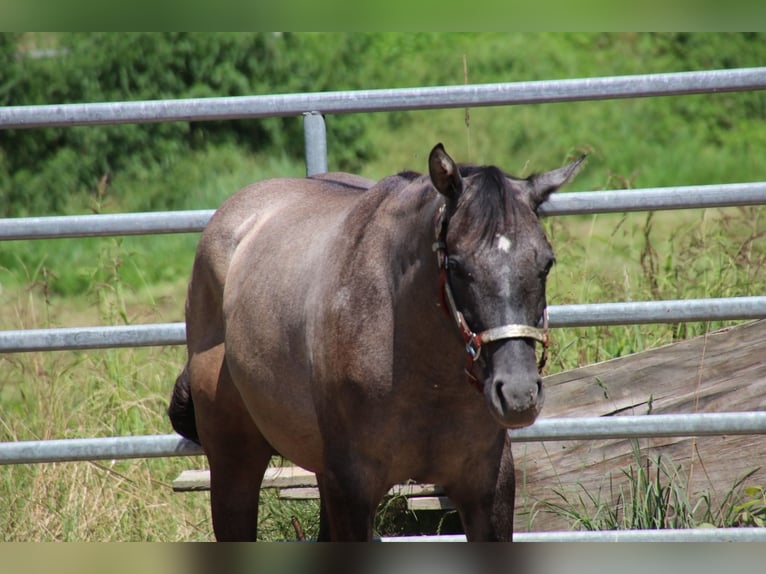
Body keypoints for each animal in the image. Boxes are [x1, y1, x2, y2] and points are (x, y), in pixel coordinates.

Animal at [170, 143, 588, 540]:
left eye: (546, 263)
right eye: (455, 264)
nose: (518, 395)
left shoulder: (488, 486)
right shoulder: (352, 489)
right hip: (235, 462)